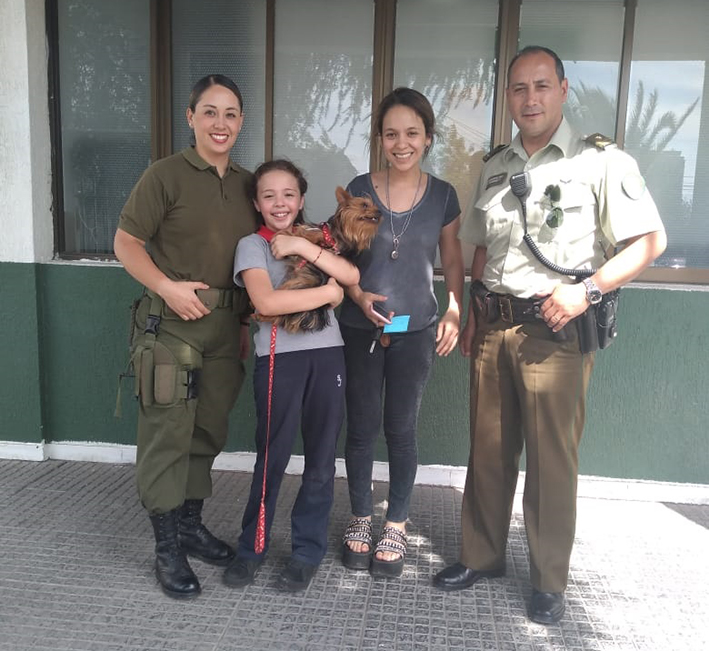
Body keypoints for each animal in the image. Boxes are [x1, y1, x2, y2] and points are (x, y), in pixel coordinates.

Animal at [260, 186, 381, 333]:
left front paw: (287, 234)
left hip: (295, 288)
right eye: (364, 205)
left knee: (276, 314)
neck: (341, 233)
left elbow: (307, 235)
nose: (380, 212)